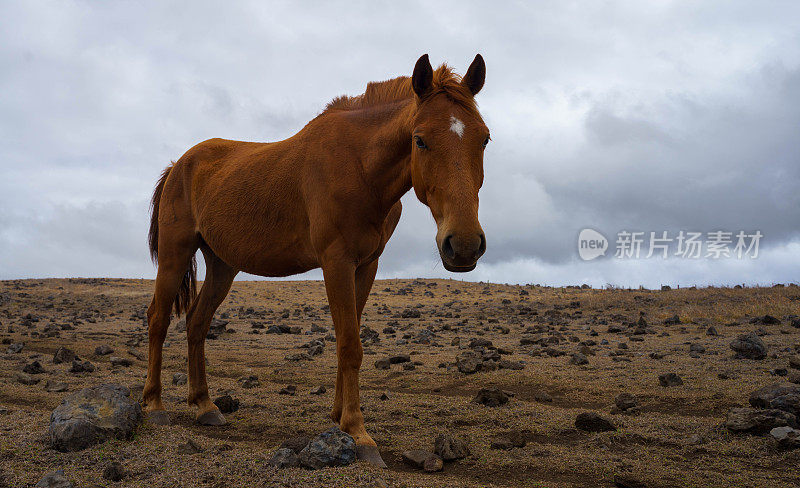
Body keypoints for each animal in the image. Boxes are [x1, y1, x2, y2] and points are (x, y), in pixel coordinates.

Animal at [145, 53, 488, 466]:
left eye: (484, 138)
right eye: (419, 140)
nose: (464, 244)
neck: (360, 167)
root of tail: (179, 164)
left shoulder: (366, 265)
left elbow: (348, 337)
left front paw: (339, 418)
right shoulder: (336, 261)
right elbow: (350, 344)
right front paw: (359, 433)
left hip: (223, 265)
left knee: (197, 323)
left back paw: (205, 406)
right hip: (175, 254)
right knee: (159, 320)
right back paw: (154, 405)